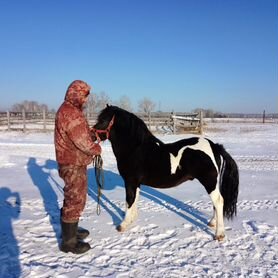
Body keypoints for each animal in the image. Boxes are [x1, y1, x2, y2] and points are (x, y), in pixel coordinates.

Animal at [92, 105, 239, 240]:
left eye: (103, 119)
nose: (91, 135)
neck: (135, 149)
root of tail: (214, 146)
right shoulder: (136, 183)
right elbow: (134, 201)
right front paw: (131, 220)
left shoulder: (130, 181)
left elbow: (129, 200)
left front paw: (122, 225)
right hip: (213, 183)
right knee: (216, 203)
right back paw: (212, 223)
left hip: (209, 182)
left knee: (219, 201)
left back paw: (219, 234)